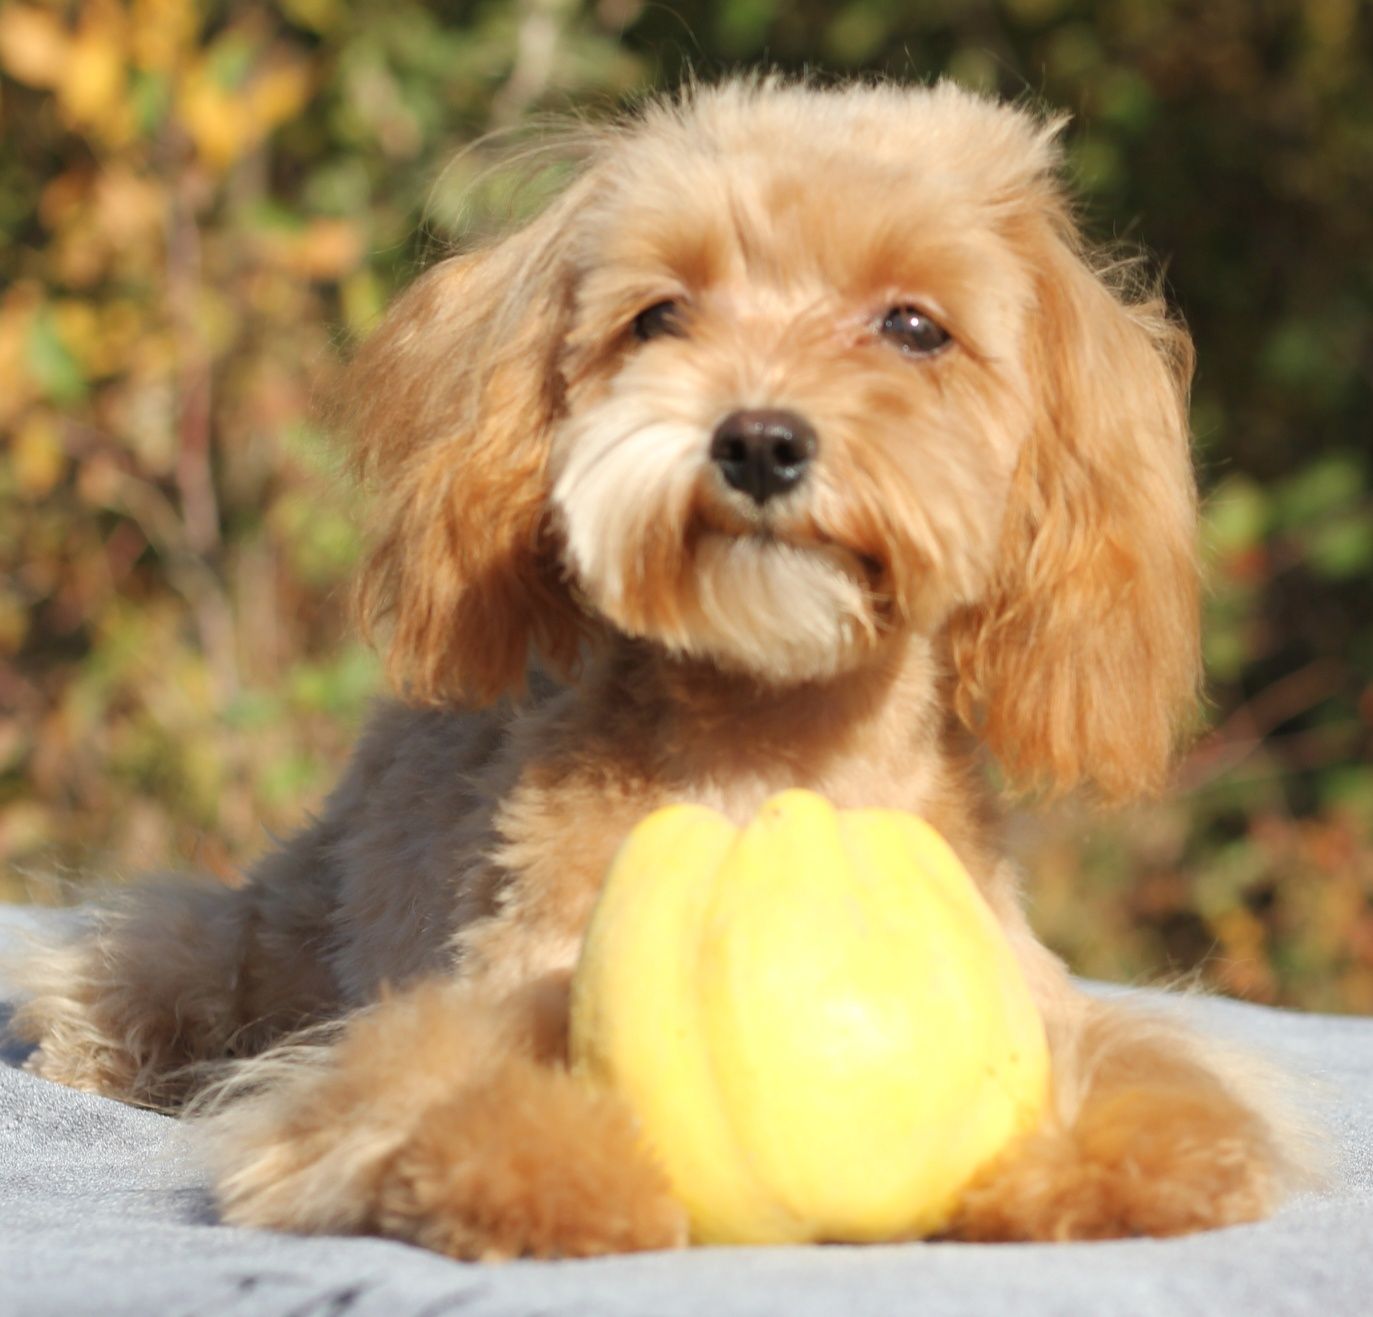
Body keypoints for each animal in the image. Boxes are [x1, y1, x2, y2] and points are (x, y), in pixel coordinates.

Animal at [10, 79, 1301, 1257]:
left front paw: (1109, 1166)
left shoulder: (1024, 989)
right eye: (660, 315)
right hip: (269, 934)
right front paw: (546, 1173)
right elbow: (443, 1085)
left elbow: (1151, 1084)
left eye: (912, 327)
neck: (772, 748)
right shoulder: (478, 995)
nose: (759, 440)